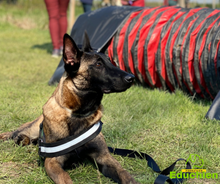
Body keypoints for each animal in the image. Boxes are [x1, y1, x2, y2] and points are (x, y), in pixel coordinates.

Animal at [0, 33, 138, 184]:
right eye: (98, 64)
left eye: (111, 62)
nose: (132, 78)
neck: (78, 113)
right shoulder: (53, 162)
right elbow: (66, 179)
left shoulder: (104, 157)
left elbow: (124, 174)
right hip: (31, 130)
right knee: (12, 133)